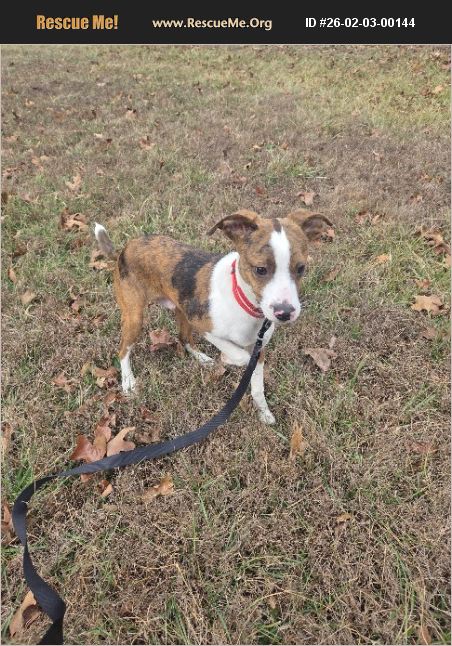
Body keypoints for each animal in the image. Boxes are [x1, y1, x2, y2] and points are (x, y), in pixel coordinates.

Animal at [94, 209, 332, 424]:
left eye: (301, 268)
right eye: (260, 269)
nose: (285, 313)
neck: (245, 304)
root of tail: (124, 248)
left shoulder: (259, 347)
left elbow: (257, 387)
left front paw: (263, 412)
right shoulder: (205, 327)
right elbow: (240, 356)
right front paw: (227, 359)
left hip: (182, 309)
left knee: (183, 337)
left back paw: (202, 359)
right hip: (136, 316)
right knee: (124, 350)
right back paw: (128, 383)